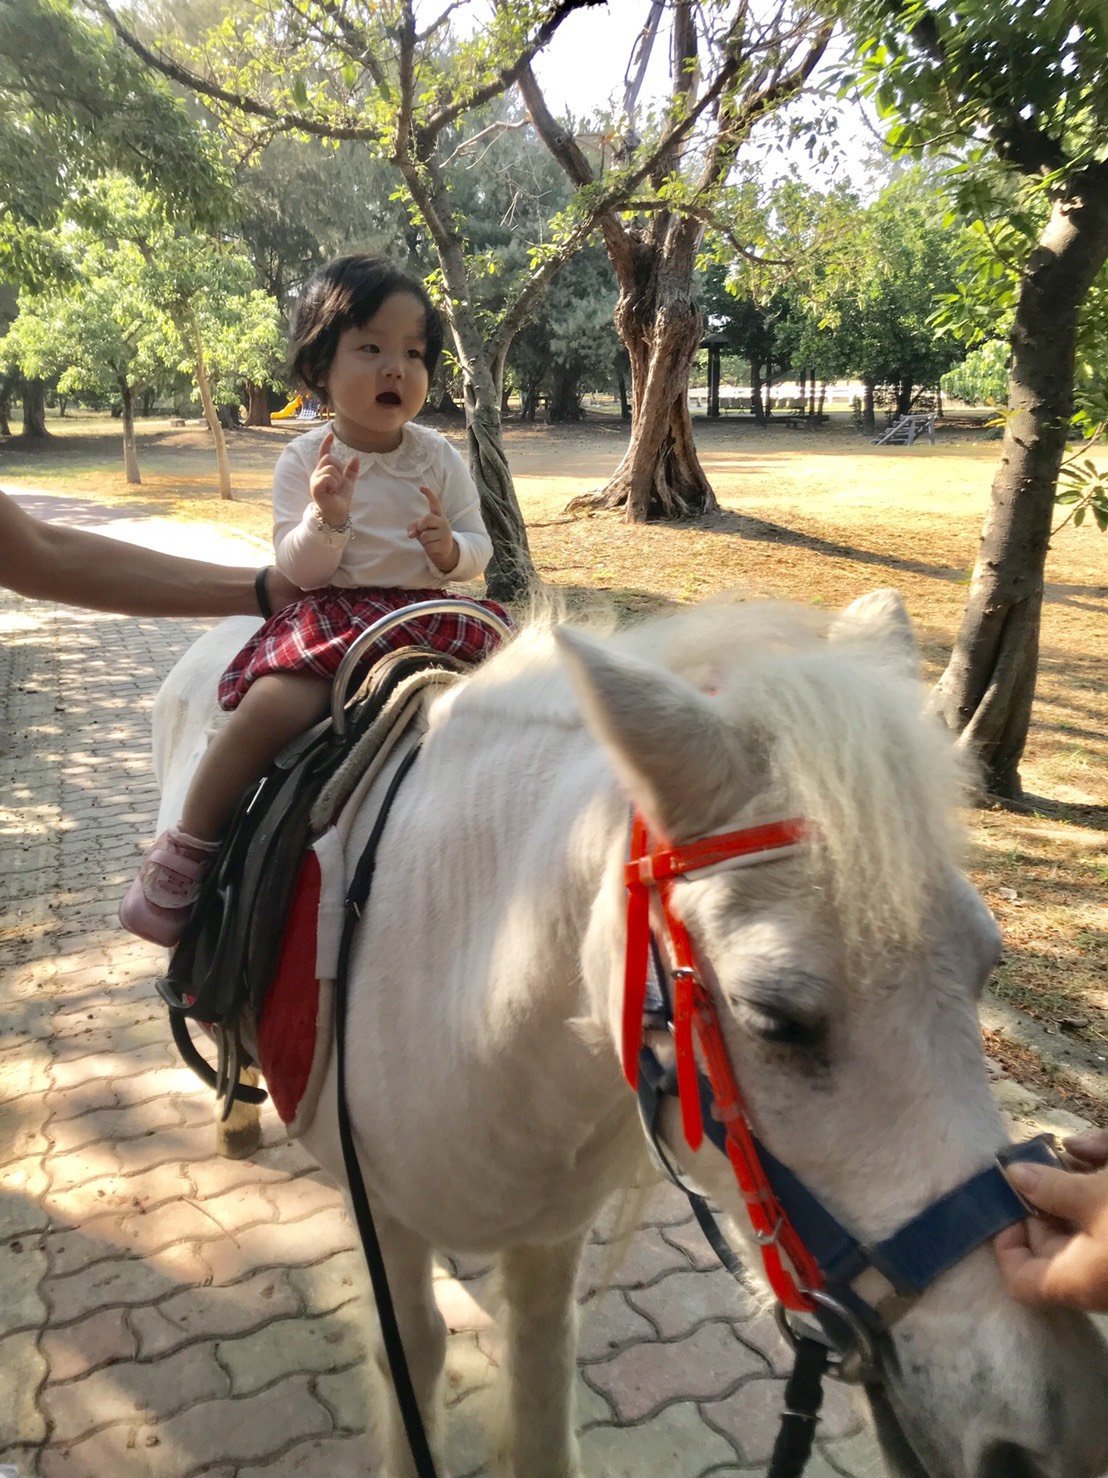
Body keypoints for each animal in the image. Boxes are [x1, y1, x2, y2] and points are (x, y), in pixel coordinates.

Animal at [151, 589, 1108, 1478]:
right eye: (776, 1019)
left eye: (985, 966)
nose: (1042, 1444)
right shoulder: (380, 1216)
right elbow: (412, 1354)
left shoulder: (549, 1237)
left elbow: (541, 1379)